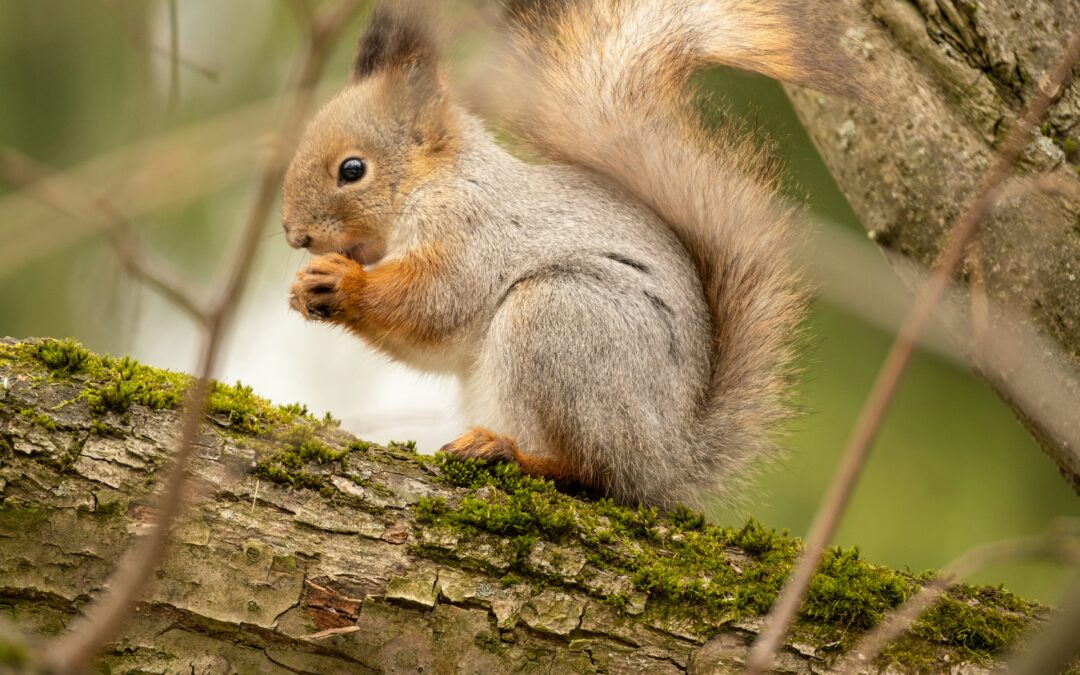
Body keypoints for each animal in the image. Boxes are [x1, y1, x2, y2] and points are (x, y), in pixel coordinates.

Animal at [282, 0, 863, 508]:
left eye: (352, 169)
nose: (293, 234)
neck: (434, 181)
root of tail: (670, 457)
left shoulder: (472, 231)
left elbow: (435, 303)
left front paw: (343, 281)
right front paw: (306, 288)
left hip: (559, 321)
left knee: (595, 473)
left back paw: (511, 453)